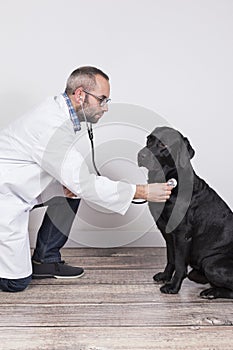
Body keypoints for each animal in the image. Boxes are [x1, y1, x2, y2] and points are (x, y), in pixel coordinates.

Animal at [137, 127, 233, 300]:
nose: (141, 155)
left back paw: (211, 292)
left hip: (211, 264)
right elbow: (171, 258)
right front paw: (165, 276)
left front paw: (173, 287)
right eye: (148, 139)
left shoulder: (182, 234)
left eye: (163, 144)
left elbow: (180, 264)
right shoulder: (167, 232)